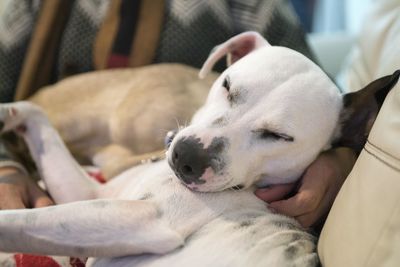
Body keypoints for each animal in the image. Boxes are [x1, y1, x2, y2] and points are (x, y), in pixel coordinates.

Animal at [0, 30, 396, 266]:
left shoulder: (141, 220)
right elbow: (35, 113)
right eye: (227, 85)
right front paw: (7, 113)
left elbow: (21, 221)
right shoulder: (89, 191)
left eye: (279, 136)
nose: (187, 157)